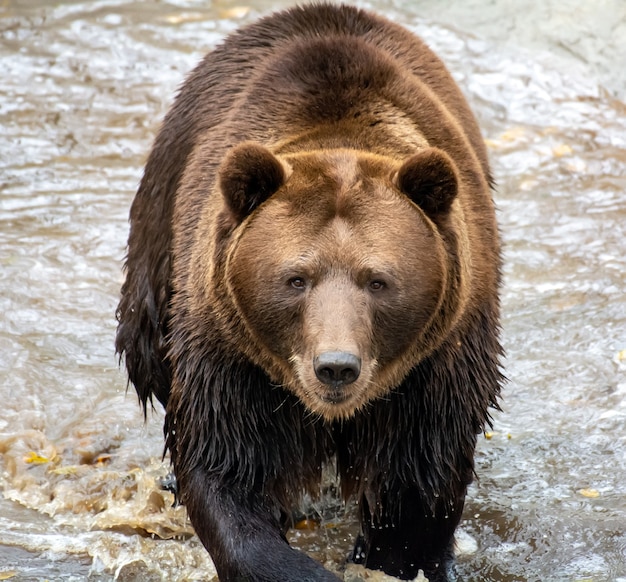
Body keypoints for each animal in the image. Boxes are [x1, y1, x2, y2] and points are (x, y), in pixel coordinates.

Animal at [116, 2, 502, 580]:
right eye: (296, 279)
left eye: (378, 280)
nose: (336, 367)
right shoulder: (232, 355)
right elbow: (226, 466)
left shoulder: (436, 364)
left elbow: (416, 482)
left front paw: (383, 552)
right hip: (160, 232)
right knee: (145, 348)